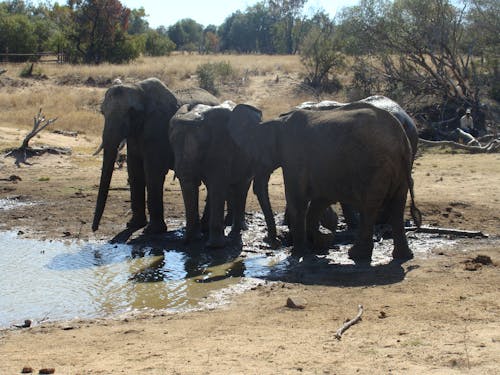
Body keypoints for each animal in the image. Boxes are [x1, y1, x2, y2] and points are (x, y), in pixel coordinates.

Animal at [168, 101, 264, 250]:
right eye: (171, 142)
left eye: (201, 145)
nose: (186, 242)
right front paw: (200, 237)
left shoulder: (221, 145)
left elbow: (217, 185)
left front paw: (215, 246)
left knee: (241, 187)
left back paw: (238, 231)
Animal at [229, 102, 420, 262]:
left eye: (257, 156)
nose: (272, 242)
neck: (277, 121)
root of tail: (401, 137)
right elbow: (319, 199)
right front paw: (321, 241)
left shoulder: (294, 154)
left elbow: (297, 200)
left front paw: (298, 254)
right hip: (400, 167)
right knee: (397, 206)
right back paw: (403, 256)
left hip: (374, 168)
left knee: (370, 207)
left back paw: (356, 255)